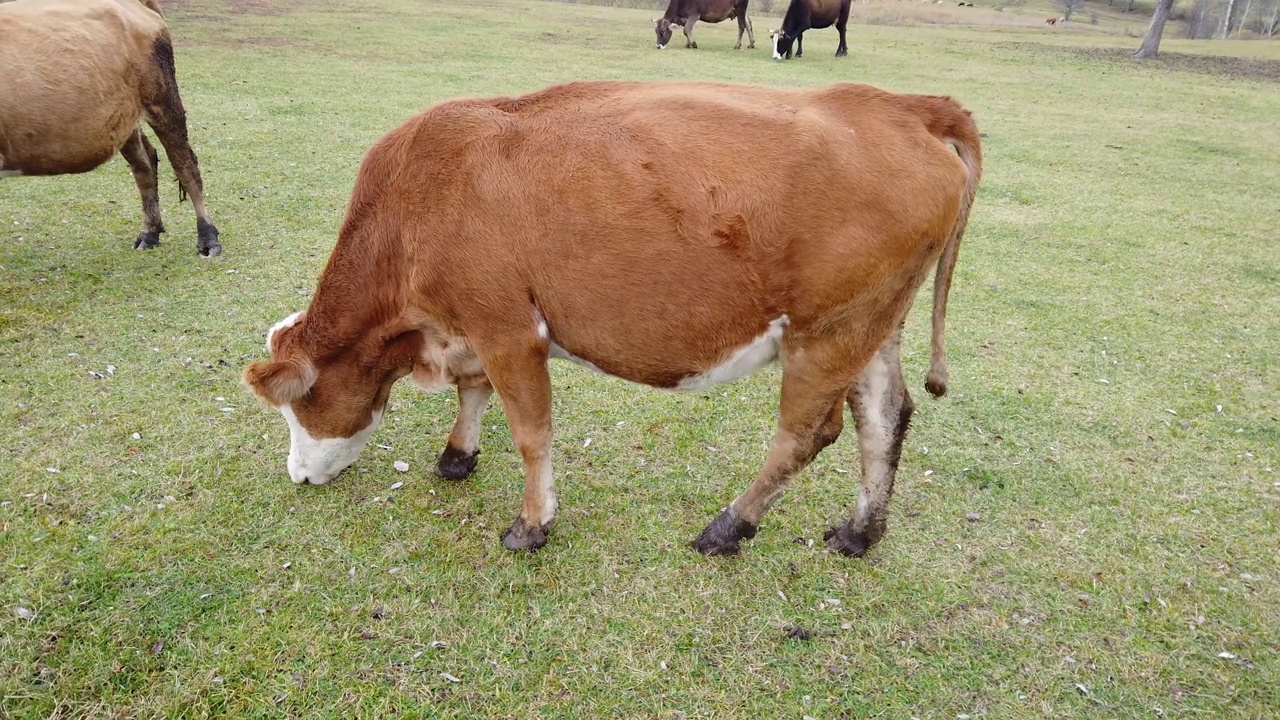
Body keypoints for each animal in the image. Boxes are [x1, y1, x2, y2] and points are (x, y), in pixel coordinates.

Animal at [0, 0, 221, 254]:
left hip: (163, 98)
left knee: (185, 165)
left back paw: (208, 238)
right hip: (123, 117)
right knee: (145, 164)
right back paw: (149, 233)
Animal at [241, 81, 977, 558]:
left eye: (300, 406)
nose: (298, 475)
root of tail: (905, 107)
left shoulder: (509, 330)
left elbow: (531, 432)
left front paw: (532, 524)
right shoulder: (475, 324)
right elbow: (472, 390)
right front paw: (457, 455)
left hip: (827, 332)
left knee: (807, 434)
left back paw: (730, 527)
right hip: (876, 322)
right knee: (883, 418)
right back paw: (859, 532)